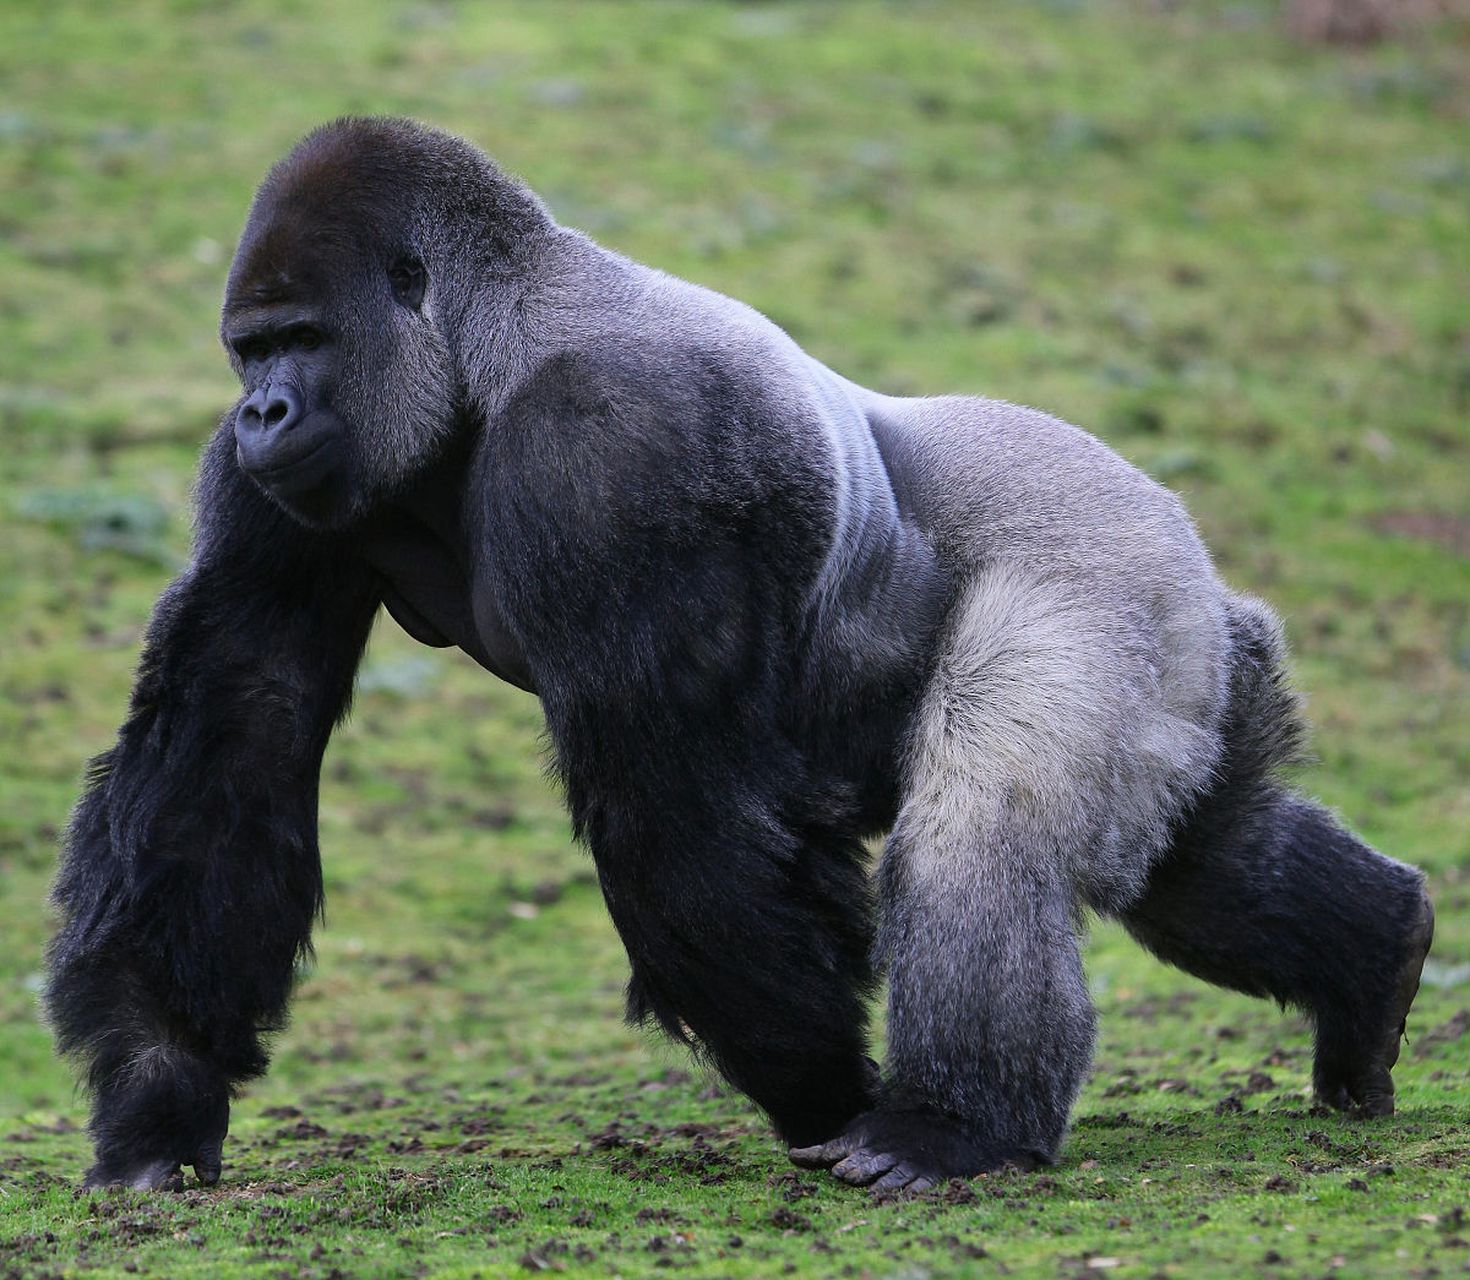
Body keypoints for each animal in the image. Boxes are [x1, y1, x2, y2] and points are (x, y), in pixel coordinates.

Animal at [48, 117, 1434, 1193]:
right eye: (249, 350)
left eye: (302, 339)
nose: (261, 407)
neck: (482, 353)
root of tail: (1197, 556)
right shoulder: (273, 486)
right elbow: (242, 719)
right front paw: (162, 1091)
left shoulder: (611, 446)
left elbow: (675, 806)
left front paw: (827, 1087)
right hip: (1190, 656)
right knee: (1203, 856)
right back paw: (1377, 961)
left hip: (1113, 567)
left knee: (994, 815)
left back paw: (953, 1124)